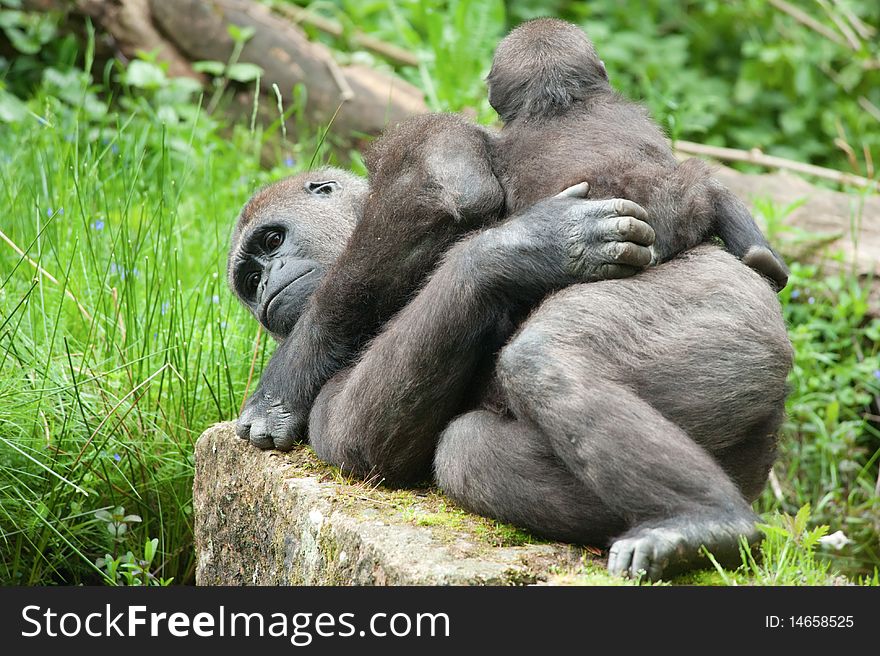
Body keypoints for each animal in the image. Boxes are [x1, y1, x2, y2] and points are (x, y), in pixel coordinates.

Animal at [227, 168, 792, 580]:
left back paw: (705, 522)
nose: (267, 285)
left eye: (273, 240)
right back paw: (704, 528)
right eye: (250, 280)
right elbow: (357, 435)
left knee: (540, 360)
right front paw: (528, 245)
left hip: (726, 303)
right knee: (471, 447)